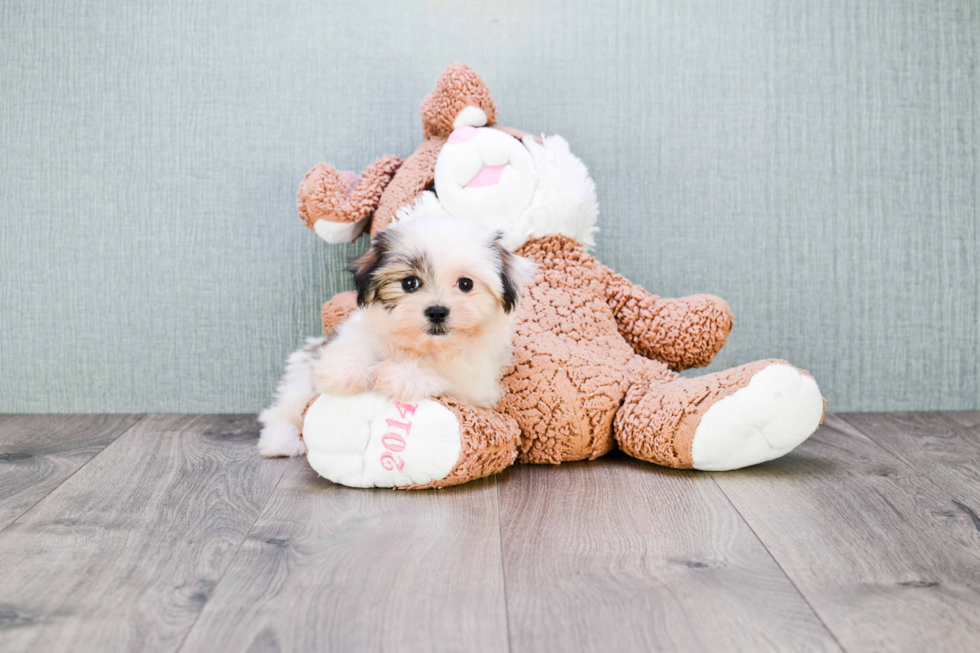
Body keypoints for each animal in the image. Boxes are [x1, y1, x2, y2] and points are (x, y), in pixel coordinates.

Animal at [256, 215, 532, 458]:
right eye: (409, 283)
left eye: (466, 284)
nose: (437, 311)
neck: (420, 346)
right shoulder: (357, 333)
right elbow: (352, 348)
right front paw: (347, 372)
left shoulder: (476, 385)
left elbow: (442, 374)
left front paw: (400, 376)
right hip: (298, 381)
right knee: (282, 410)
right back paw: (281, 441)